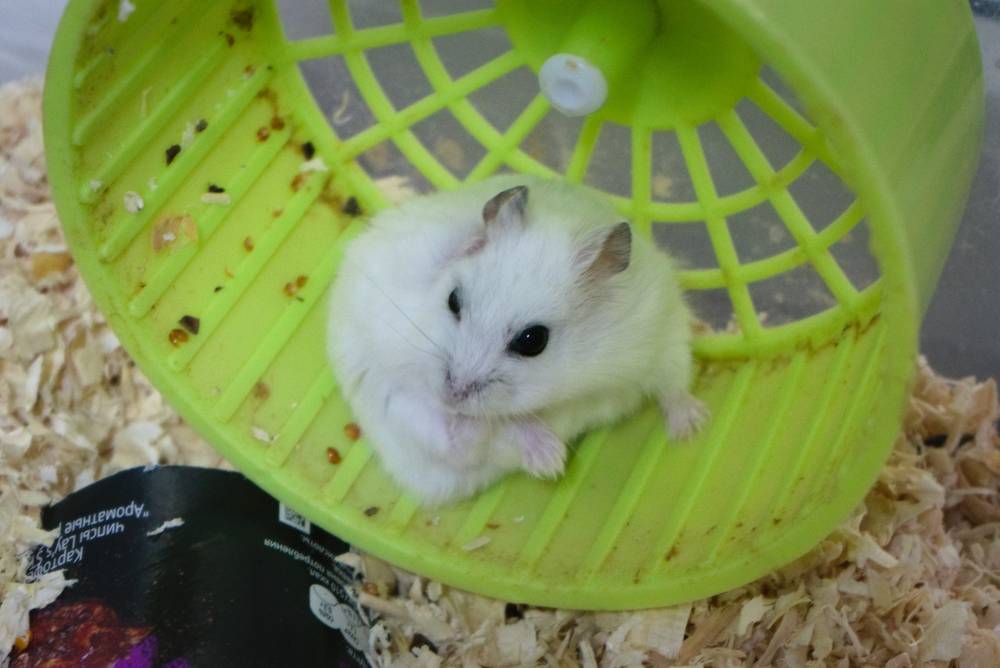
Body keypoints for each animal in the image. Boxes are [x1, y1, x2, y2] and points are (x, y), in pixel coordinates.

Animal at [327, 174, 707, 504]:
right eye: (453, 300)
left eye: (532, 340)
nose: (451, 398)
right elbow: (500, 426)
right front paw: (553, 461)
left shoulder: (664, 330)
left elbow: (674, 383)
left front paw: (690, 429)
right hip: (386, 394)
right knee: (457, 445)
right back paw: (549, 457)